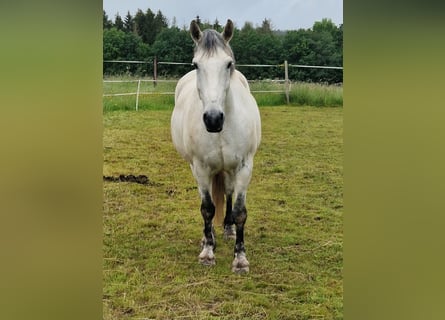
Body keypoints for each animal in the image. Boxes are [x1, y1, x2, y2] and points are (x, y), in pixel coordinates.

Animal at [170, 18, 260, 274]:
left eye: (228, 64)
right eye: (196, 65)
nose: (213, 119)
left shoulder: (244, 167)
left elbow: (240, 212)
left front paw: (240, 259)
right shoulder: (200, 168)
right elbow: (207, 208)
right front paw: (208, 252)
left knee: (228, 193)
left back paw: (228, 230)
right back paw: (207, 237)